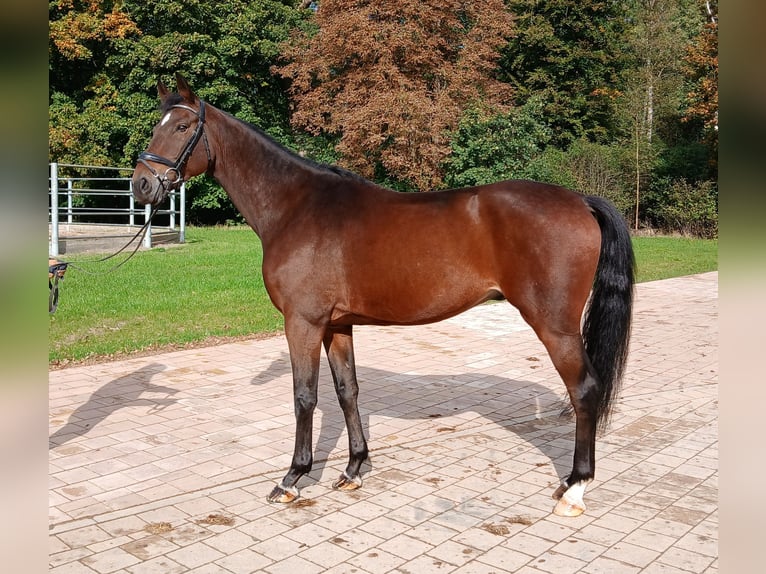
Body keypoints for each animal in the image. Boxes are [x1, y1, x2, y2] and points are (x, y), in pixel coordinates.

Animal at [134, 74, 636, 520]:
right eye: (157, 123)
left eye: (182, 127)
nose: (141, 184)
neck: (296, 207)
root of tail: (580, 201)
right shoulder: (337, 324)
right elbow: (347, 391)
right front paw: (354, 468)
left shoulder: (303, 322)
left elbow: (304, 396)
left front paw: (293, 478)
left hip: (554, 325)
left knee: (584, 390)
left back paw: (574, 488)